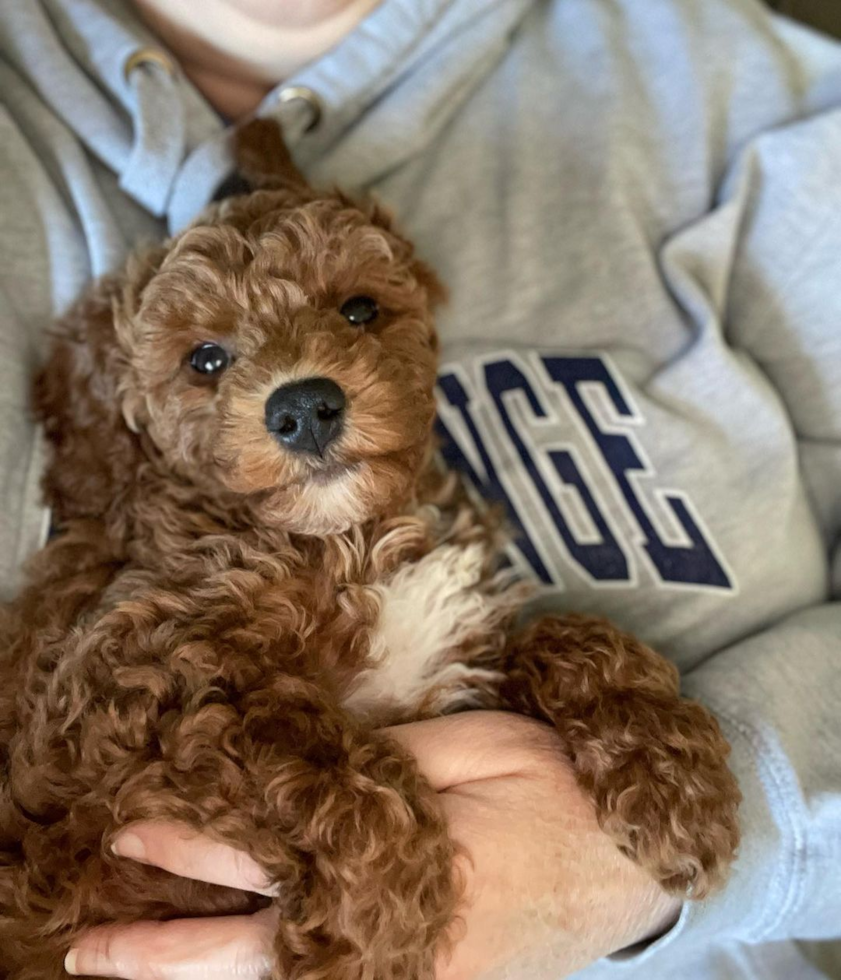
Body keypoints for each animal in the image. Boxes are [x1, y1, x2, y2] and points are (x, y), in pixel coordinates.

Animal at [0, 122, 736, 980]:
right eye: (205, 359)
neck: (345, 534)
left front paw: (676, 780)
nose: (303, 407)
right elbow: (304, 744)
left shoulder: (452, 667)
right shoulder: (112, 694)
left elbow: (568, 635)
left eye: (358, 309)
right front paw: (376, 925)